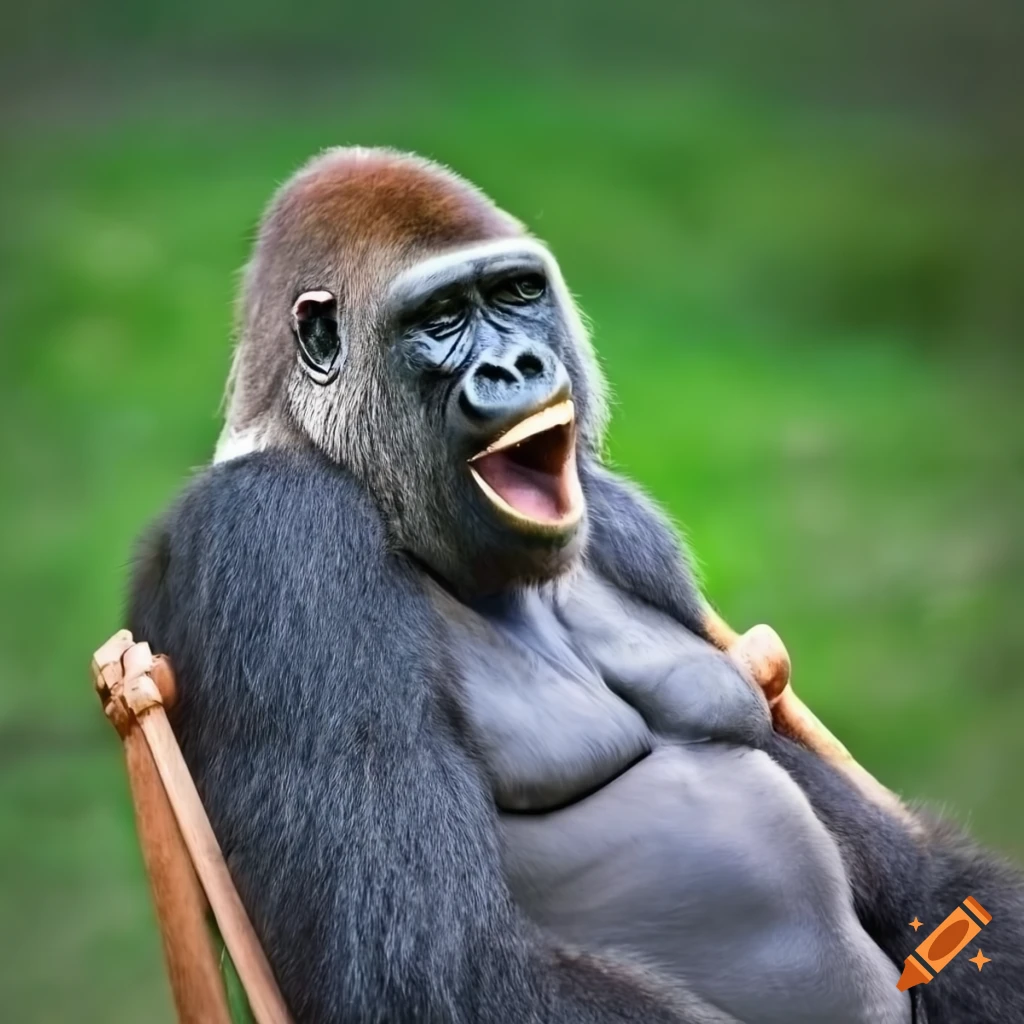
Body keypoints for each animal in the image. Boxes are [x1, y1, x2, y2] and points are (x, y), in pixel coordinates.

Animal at [127, 147, 1024, 1024]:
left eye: (517, 292)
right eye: (440, 318)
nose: (519, 364)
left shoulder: (629, 525)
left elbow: (918, 879)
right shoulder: (279, 535)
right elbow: (429, 971)